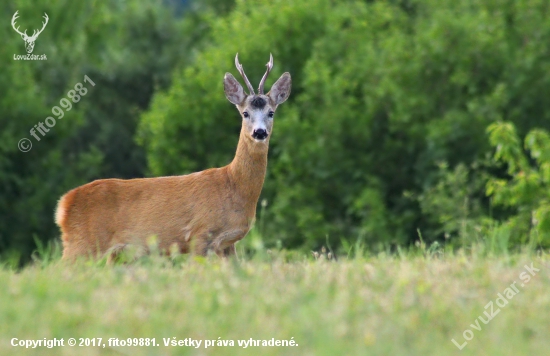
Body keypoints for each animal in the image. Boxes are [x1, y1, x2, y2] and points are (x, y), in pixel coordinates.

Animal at [56, 52, 294, 260]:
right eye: (245, 113)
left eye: (271, 112)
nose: (259, 132)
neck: (234, 185)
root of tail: (64, 204)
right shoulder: (200, 233)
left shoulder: (228, 244)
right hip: (82, 244)